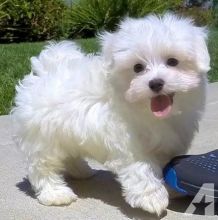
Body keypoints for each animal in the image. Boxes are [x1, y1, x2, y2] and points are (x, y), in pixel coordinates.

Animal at [12, 13, 210, 215]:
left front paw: (172, 188)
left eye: (173, 61)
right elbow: (141, 168)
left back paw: (81, 171)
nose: (155, 83)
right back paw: (55, 193)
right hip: (42, 138)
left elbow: (167, 165)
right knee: (43, 167)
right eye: (137, 67)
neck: (147, 110)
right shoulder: (129, 143)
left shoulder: (169, 142)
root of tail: (45, 70)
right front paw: (152, 197)